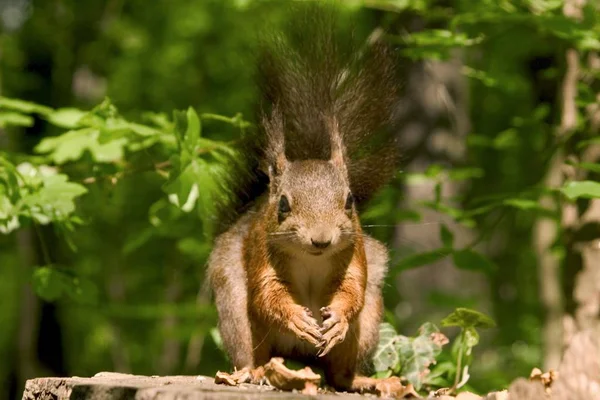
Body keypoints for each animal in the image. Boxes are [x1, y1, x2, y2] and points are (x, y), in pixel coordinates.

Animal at [209, 3, 400, 394]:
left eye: (349, 201)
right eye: (282, 204)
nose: (321, 239)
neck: (312, 260)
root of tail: (298, 357)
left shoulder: (355, 253)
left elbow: (352, 288)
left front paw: (338, 317)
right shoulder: (261, 253)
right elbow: (268, 294)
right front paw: (296, 318)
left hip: (368, 322)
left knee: (339, 373)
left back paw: (364, 380)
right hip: (236, 311)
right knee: (251, 350)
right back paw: (252, 372)